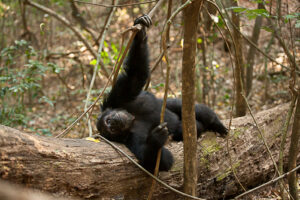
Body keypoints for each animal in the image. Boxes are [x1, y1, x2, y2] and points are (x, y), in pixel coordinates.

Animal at [96, 15, 227, 172]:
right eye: (111, 130)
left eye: (109, 121)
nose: (114, 123)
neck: (133, 119)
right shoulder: (131, 140)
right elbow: (161, 162)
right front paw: (156, 139)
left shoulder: (117, 96)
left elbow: (135, 75)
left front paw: (140, 30)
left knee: (185, 106)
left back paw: (215, 123)